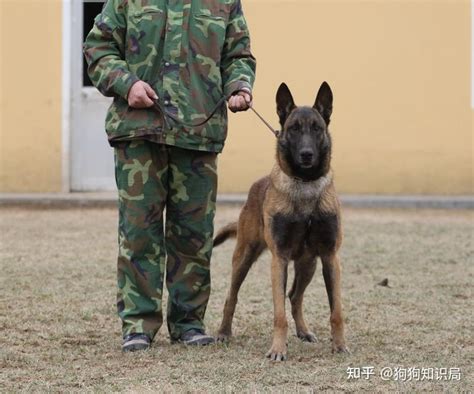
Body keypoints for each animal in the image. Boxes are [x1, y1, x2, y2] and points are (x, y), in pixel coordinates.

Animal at [213, 82, 346, 360]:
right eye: (293, 129)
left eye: (316, 128)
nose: (306, 155)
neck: (305, 186)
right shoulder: (280, 258)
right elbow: (279, 314)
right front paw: (277, 349)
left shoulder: (330, 257)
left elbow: (336, 311)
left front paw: (339, 345)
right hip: (244, 257)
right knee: (232, 296)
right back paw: (223, 332)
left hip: (309, 264)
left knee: (295, 296)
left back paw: (304, 331)